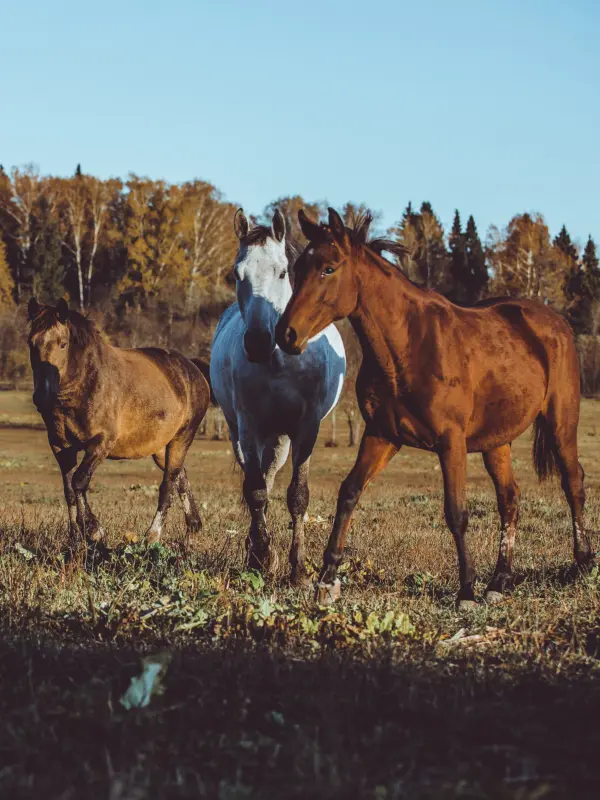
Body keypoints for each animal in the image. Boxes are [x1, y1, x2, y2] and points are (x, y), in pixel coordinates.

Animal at [27, 298, 210, 548]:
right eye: (31, 343)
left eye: (63, 344)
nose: (42, 396)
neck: (87, 384)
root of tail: (192, 368)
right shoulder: (60, 446)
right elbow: (69, 489)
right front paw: (75, 536)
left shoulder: (102, 442)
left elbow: (79, 481)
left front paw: (95, 530)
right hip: (161, 448)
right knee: (180, 477)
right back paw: (193, 529)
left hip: (183, 437)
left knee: (168, 484)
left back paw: (153, 535)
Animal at [210, 208, 346, 585]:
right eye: (236, 274)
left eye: (282, 271)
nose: (257, 341)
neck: (278, 363)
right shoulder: (247, 427)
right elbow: (256, 492)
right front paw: (262, 556)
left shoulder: (306, 429)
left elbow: (298, 495)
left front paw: (298, 567)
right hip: (245, 434)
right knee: (258, 482)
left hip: (280, 438)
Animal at [275, 207, 595, 608]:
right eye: (298, 268)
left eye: (329, 268)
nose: (286, 334)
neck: (408, 346)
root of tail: (554, 322)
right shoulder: (382, 435)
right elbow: (349, 493)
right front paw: (326, 577)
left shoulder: (450, 442)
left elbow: (456, 512)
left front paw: (467, 589)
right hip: (497, 442)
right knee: (509, 498)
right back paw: (499, 580)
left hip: (559, 423)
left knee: (573, 482)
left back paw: (582, 562)